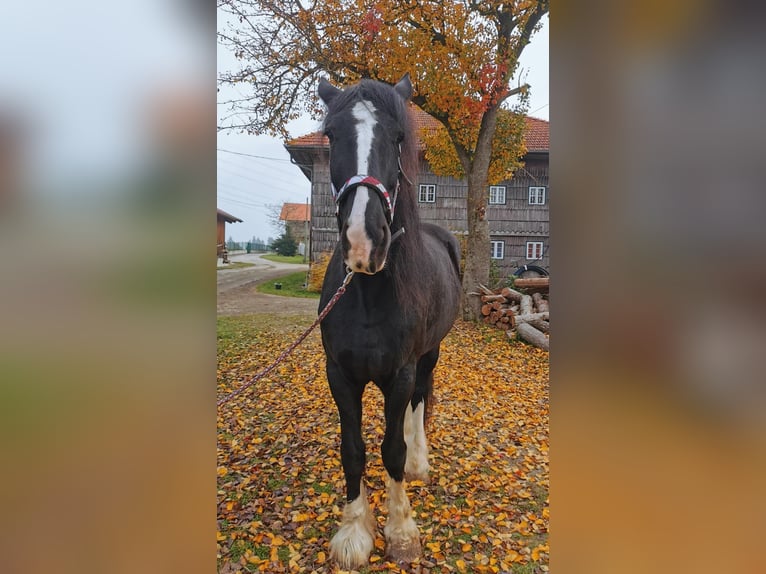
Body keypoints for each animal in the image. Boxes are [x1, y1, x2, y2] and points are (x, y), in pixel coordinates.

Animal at [317, 73, 462, 568]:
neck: (367, 293)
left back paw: (420, 461)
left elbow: (392, 450)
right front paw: (353, 533)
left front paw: (401, 531)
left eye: (399, 137)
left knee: (420, 399)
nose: (364, 241)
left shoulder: (400, 372)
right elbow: (353, 450)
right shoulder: (340, 376)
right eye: (330, 135)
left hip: (429, 354)